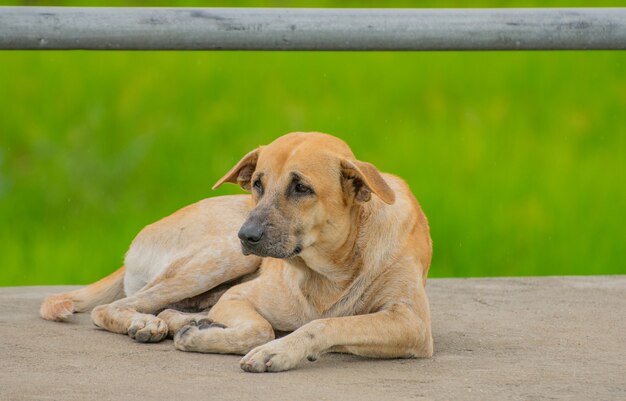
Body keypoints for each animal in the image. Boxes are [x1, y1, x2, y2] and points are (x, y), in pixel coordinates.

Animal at [40, 132, 428, 372]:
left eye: (301, 187)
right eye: (257, 184)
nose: (247, 235)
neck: (331, 271)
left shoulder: (411, 323)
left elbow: (326, 324)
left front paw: (278, 350)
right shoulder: (239, 296)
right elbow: (262, 329)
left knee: (170, 308)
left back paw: (182, 321)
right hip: (217, 259)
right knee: (114, 307)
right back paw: (149, 322)